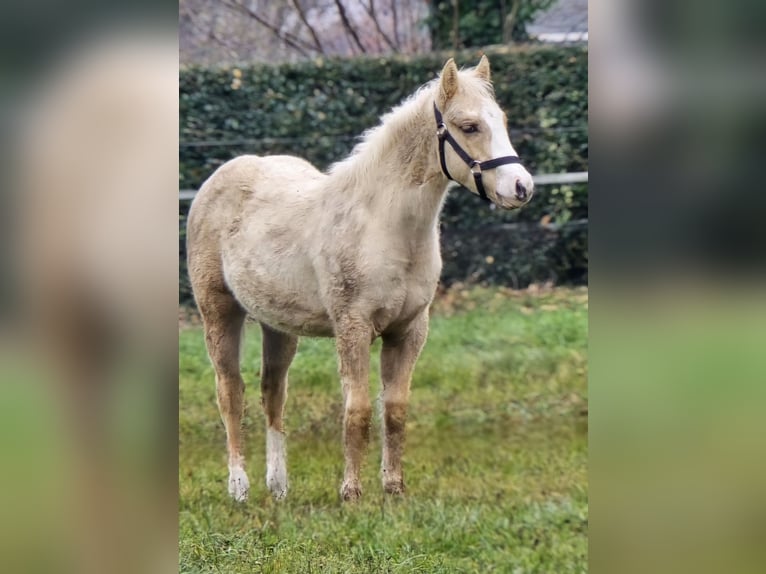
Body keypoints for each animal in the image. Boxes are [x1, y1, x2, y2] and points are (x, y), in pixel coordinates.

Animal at [186, 56, 534, 502]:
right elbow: (358, 411)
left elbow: (396, 411)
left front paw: (393, 489)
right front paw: (351, 493)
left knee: (272, 392)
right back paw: (239, 487)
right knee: (231, 393)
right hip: (218, 312)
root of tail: (217, 179)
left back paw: (279, 487)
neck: (384, 225)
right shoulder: (352, 327)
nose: (521, 187)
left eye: (502, 120)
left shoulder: (409, 330)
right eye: (469, 126)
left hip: (276, 324)